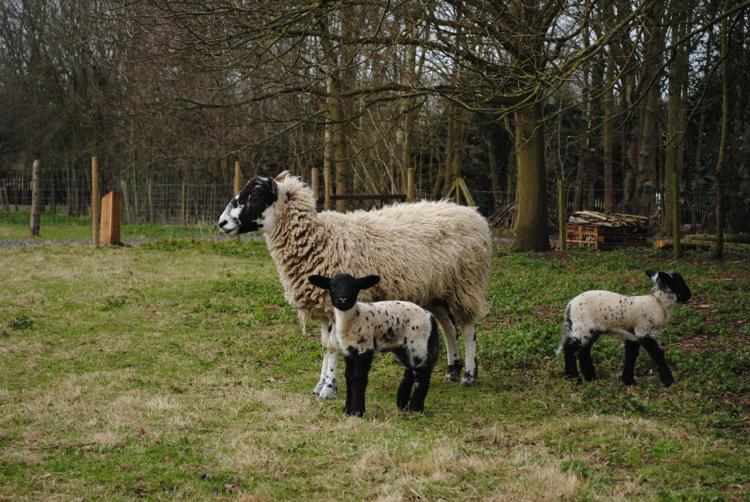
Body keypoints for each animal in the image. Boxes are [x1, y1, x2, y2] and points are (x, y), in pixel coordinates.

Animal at [218, 172, 491, 397]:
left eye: (255, 195)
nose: (222, 223)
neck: (321, 239)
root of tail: (474, 214)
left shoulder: (339, 303)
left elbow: (333, 345)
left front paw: (328, 388)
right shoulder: (325, 305)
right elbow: (325, 345)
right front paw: (321, 385)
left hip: (466, 283)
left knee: (468, 328)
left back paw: (468, 375)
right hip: (436, 288)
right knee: (448, 327)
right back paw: (452, 370)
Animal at [308, 273, 439, 416]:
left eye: (354, 288)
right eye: (332, 288)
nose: (342, 299)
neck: (354, 318)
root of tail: (430, 317)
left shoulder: (364, 348)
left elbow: (358, 378)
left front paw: (357, 411)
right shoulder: (349, 351)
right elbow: (349, 376)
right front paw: (347, 410)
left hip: (419, 345)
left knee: (423, 375)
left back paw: (415, 409)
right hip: (404, 348)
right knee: (410, 371)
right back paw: (402, 404)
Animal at [558, 270, 691, 387]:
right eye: (680, 283)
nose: (689, 295)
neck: (658, 303)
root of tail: (570, 305)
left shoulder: (632, 335)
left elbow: (631, 355)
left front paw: (628, 381)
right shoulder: (644, 331)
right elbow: (657, 354)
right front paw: (669, 381)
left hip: (590, 330)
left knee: (583, 350)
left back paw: (590, 377)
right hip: (581, 327)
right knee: (570, 349)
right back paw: (574, 379)